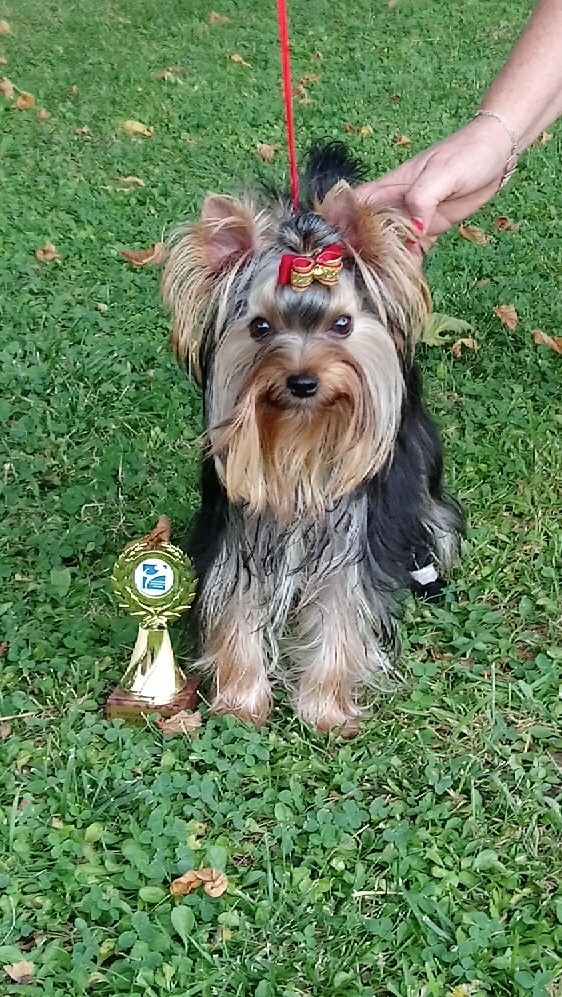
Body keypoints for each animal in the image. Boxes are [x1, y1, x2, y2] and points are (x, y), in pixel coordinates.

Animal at [160, 144, 462, 732]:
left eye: (342, 324)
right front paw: (241, 700)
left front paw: (325, 708)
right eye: (259, 328)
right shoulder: (239, 535)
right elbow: (234, 605)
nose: (302, 381)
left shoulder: (349, 544)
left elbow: (342, 614)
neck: (301, 439)